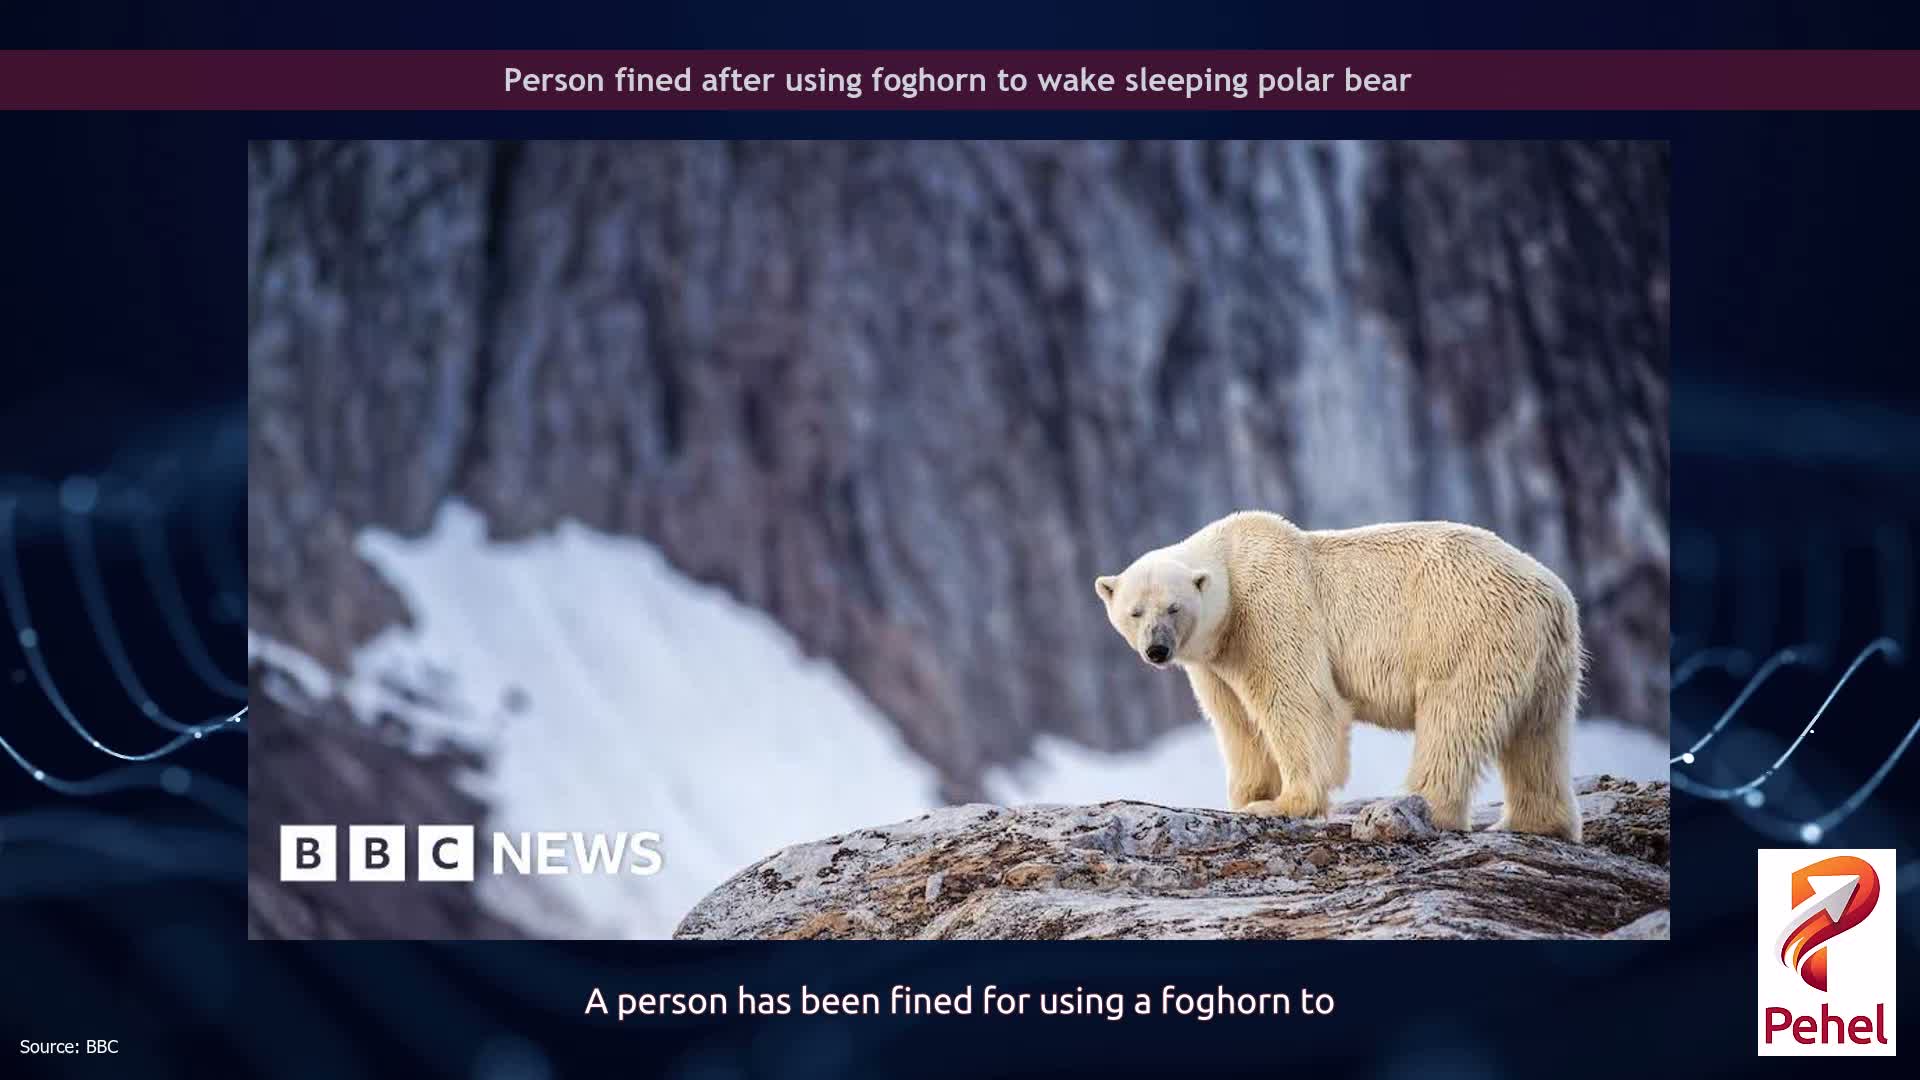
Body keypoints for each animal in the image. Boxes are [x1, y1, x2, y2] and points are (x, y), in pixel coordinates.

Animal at [1094, 511, 1583, 842]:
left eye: (1173, 608)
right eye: (1135, 611)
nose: (1157, 650)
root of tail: (1552, 594)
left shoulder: (1271, 606)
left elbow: (1300, 701)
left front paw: (1281, 804)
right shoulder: (1215, 660)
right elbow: (1237, 722)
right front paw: (1247, 797)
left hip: (1466, 628)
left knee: (1454, 717)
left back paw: (1415, 809)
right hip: (1546, 659)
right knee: (1538, 735)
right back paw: (1534, 823)